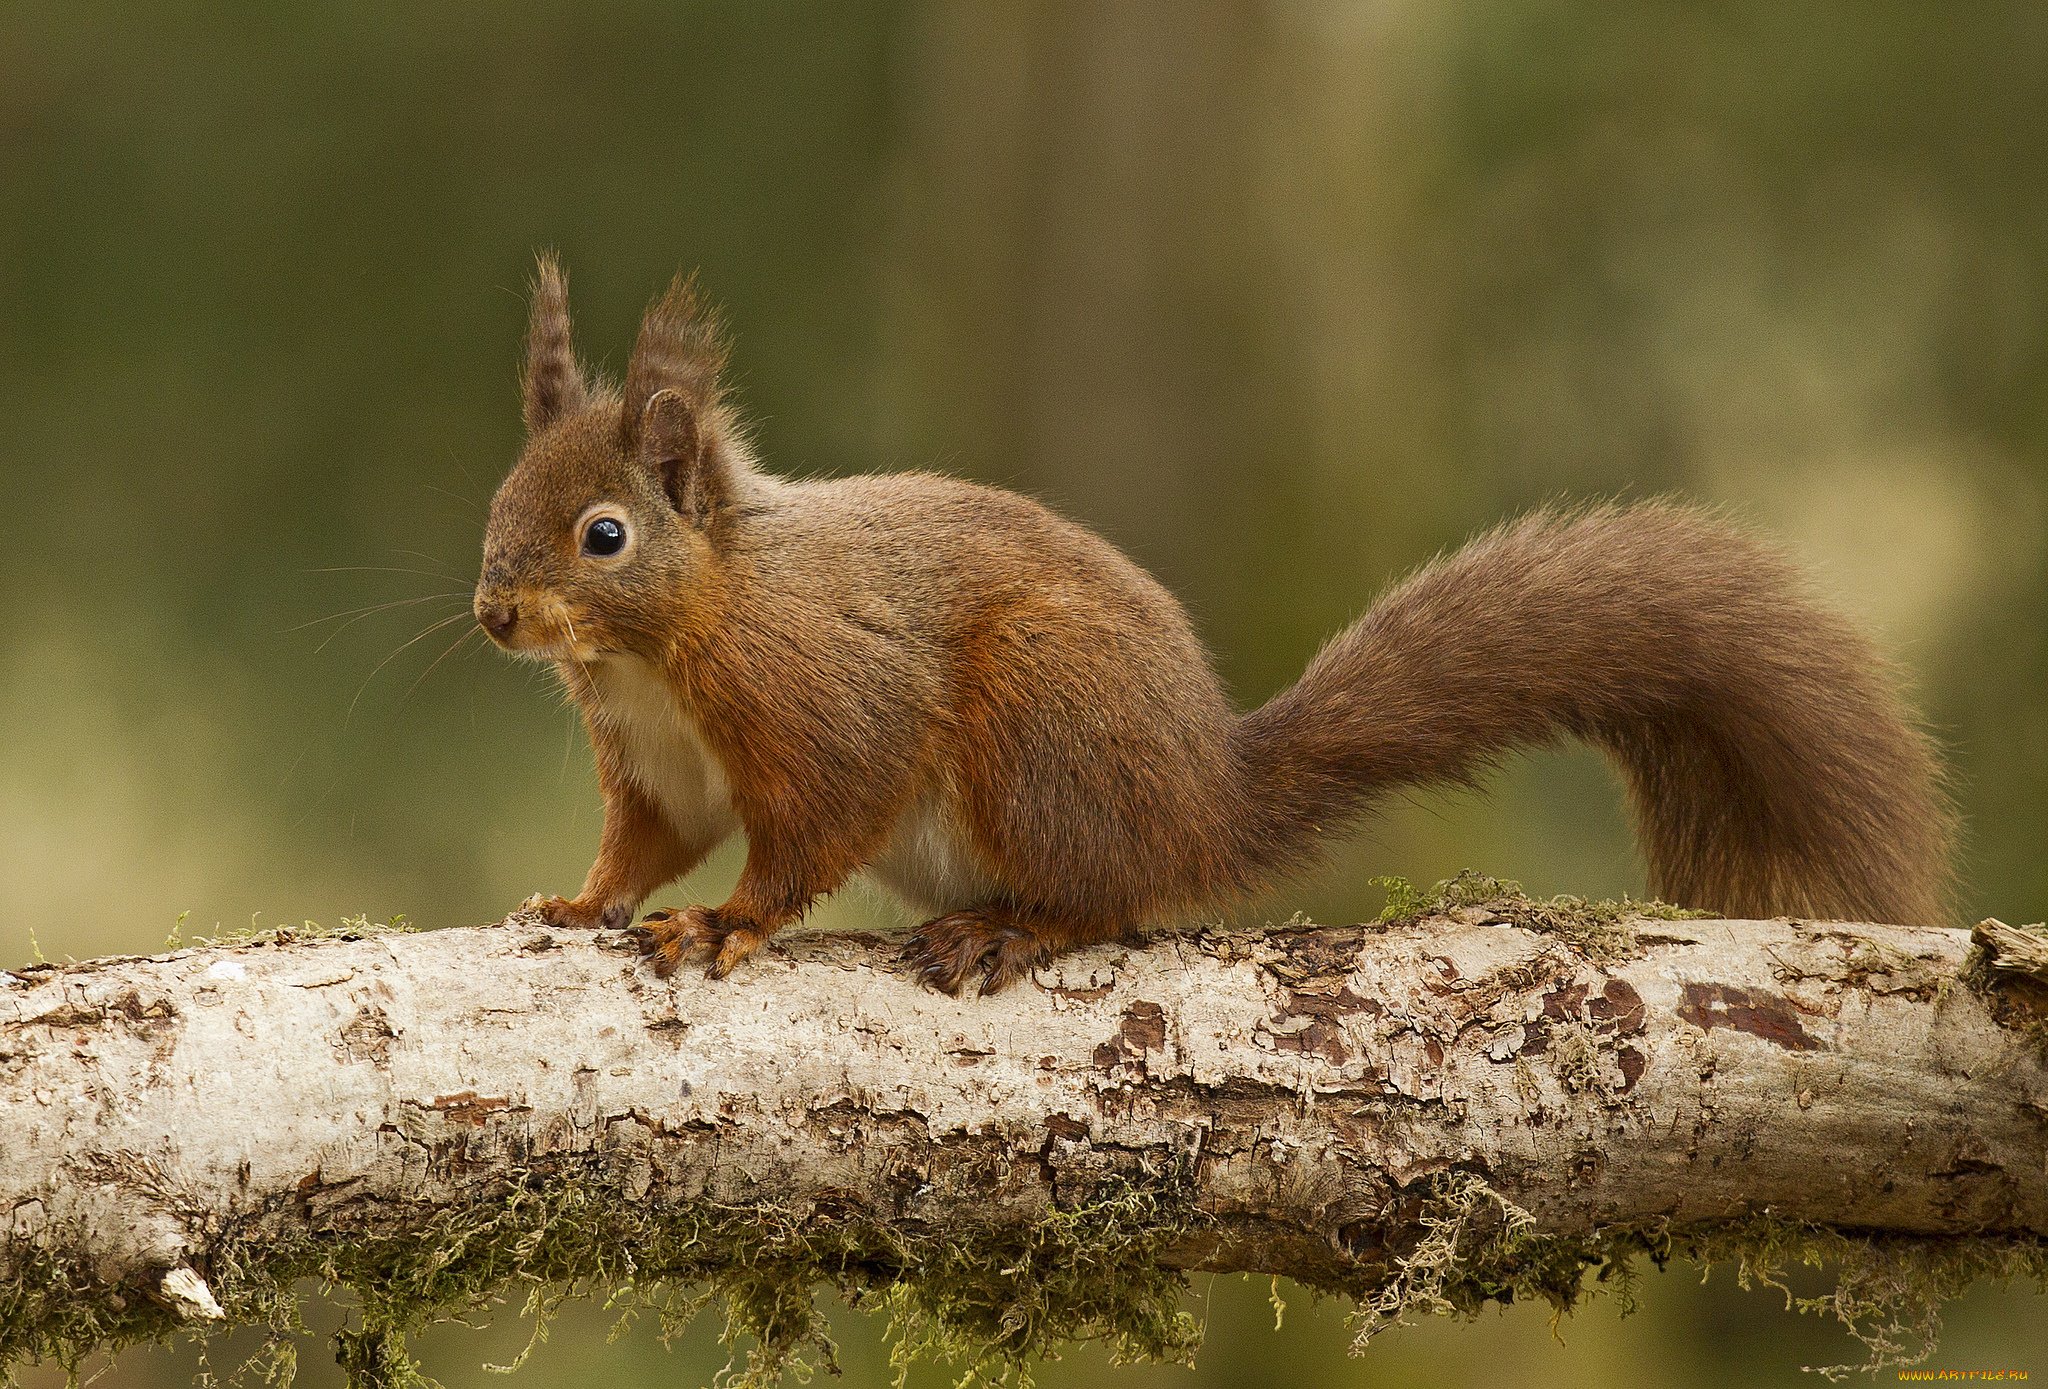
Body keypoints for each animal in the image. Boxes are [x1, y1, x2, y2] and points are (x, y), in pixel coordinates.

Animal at [471, 258, 1957, 999]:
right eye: (498, 500)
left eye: (603, 535)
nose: (493, 615)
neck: (659, 650)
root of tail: (1204, 798)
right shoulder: (656, 761)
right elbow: (648, 841)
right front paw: (580, 900)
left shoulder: (820, 693)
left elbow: (814, 821)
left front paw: (728, 926)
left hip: (1042, 725)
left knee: (1109, 899)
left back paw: (1011, 931)